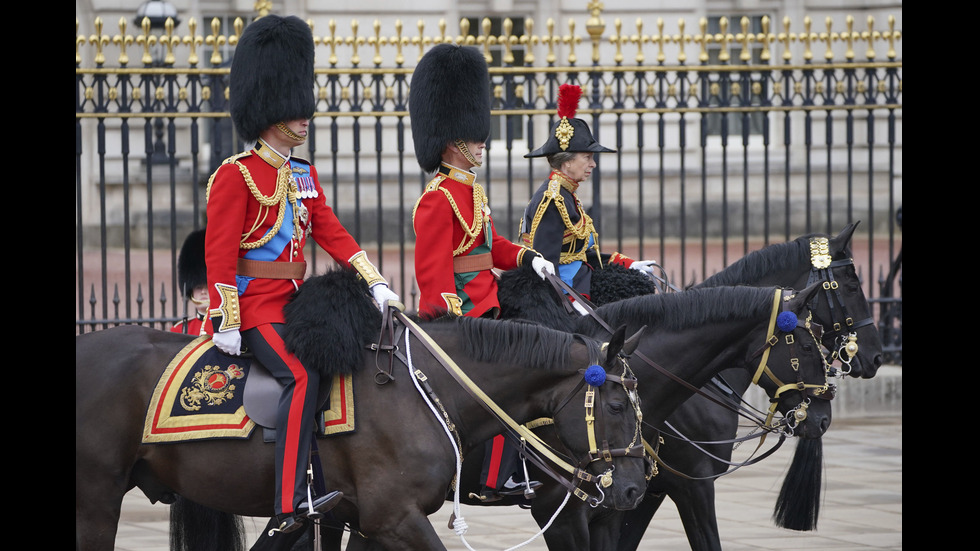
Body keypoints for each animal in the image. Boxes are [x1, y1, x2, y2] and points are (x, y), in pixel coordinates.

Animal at [74, 270, 652, 551]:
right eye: (616, 403)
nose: (633, 490)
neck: (427, 388)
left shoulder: (366, 521)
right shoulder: (395, 517)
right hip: (96, 500)